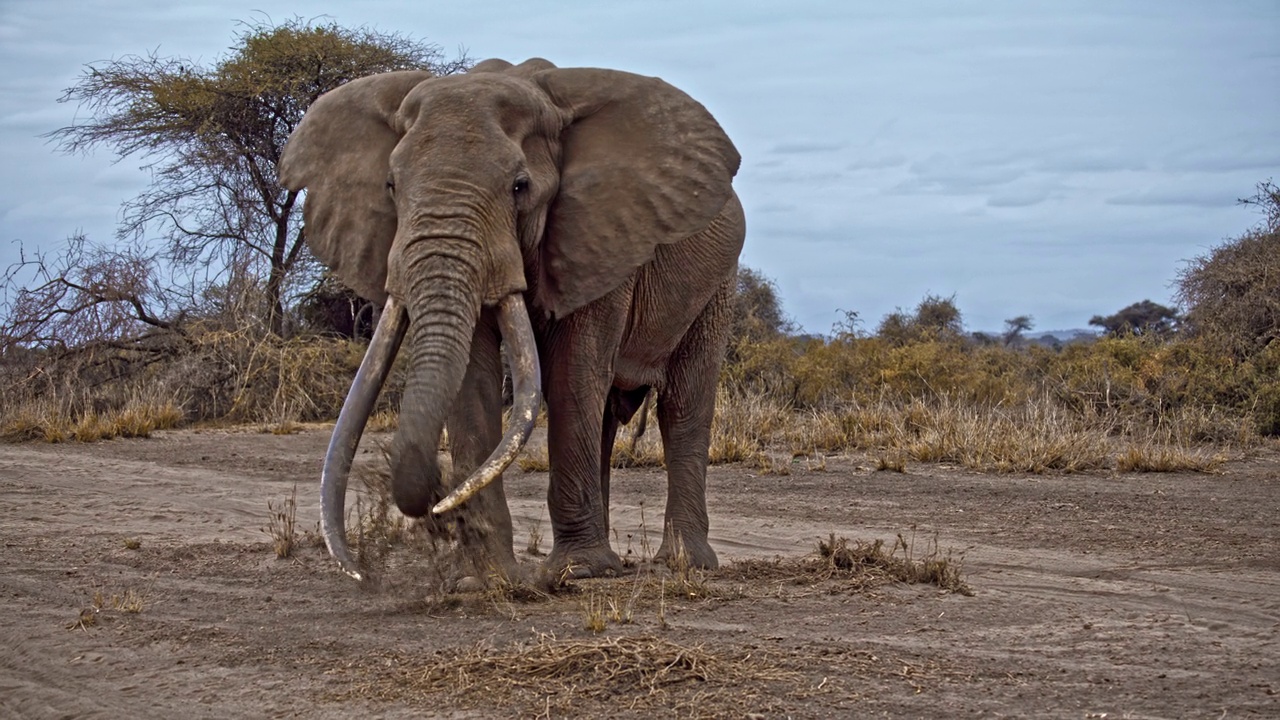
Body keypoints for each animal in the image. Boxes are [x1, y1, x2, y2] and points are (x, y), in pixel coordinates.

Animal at [275, 58, 747, 579]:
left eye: (520, 187)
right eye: (391, 186)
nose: (435, 507)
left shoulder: (600, 239)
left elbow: (572, 375)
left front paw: (576, 572)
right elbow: (473, 376)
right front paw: (486, 577)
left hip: (718, 282)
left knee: (682, 404)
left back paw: (683, 563)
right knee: (607, 415)